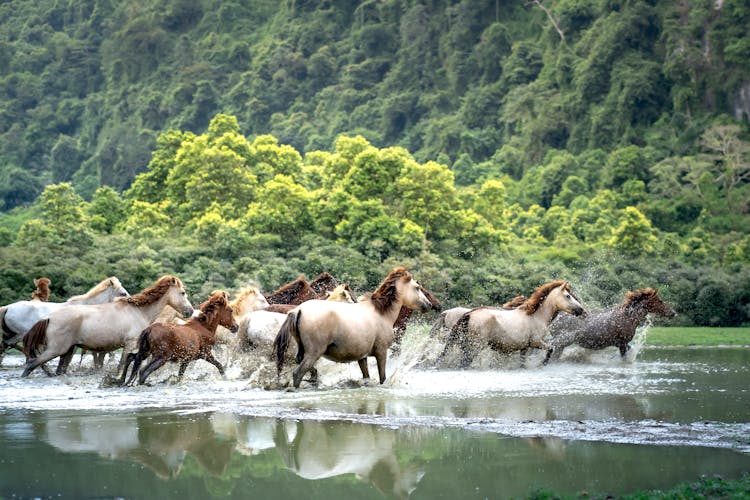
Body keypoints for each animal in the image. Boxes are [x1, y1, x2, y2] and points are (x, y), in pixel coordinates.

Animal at [22, 276, 194, 376]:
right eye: (182, 293)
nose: (190, 311)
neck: (138, 311)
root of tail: (49, 317)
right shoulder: (129, 344)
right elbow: (121, 365)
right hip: (56, 349)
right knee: (32, 364)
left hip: (67, 350)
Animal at [276, 268, 432, 388]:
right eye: (417, 288)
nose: (429, 305)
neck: (382, 313)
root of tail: (299, 310)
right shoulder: (381, 352)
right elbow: (382, 378)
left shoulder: (362, 357)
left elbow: (366, 377)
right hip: (314, 352)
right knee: (298, 373)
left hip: (304, 351)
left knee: (303, 366)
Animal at [440, 282, 588, 368]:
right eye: (568, 296)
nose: (583, 311)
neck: (536, 316)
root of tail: (469, 314)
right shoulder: (536, 342)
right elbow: (551, 348)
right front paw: (543, 363)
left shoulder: (525, 347)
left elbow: (522, 363)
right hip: (475, 347)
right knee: (464, 362)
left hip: (465, 345)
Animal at [544, 288, 680, 362]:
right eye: (660, 301)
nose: (673, 313)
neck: (629, 317)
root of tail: (556, 318)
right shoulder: (622, 344)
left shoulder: (622, 344)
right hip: (562, 340)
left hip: (561, 344)